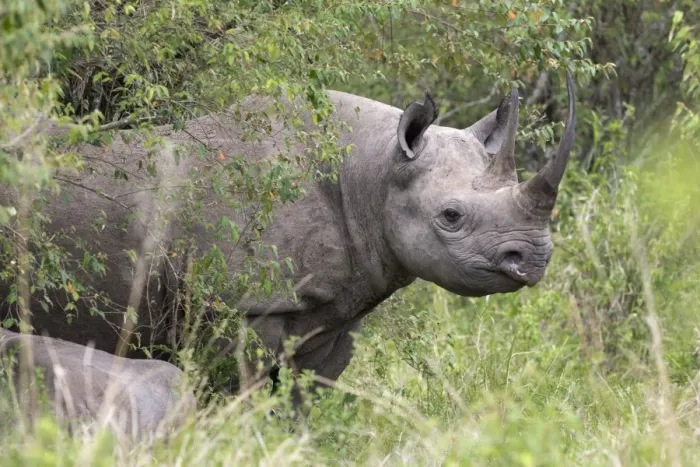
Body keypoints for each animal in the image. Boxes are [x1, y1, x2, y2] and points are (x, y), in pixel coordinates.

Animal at [0, 72, 575, 402]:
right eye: (451, 216)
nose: (534, 257)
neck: (373, 172)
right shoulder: (242, 306)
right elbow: (239, 395)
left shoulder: (335, 313)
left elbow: (304, 401)